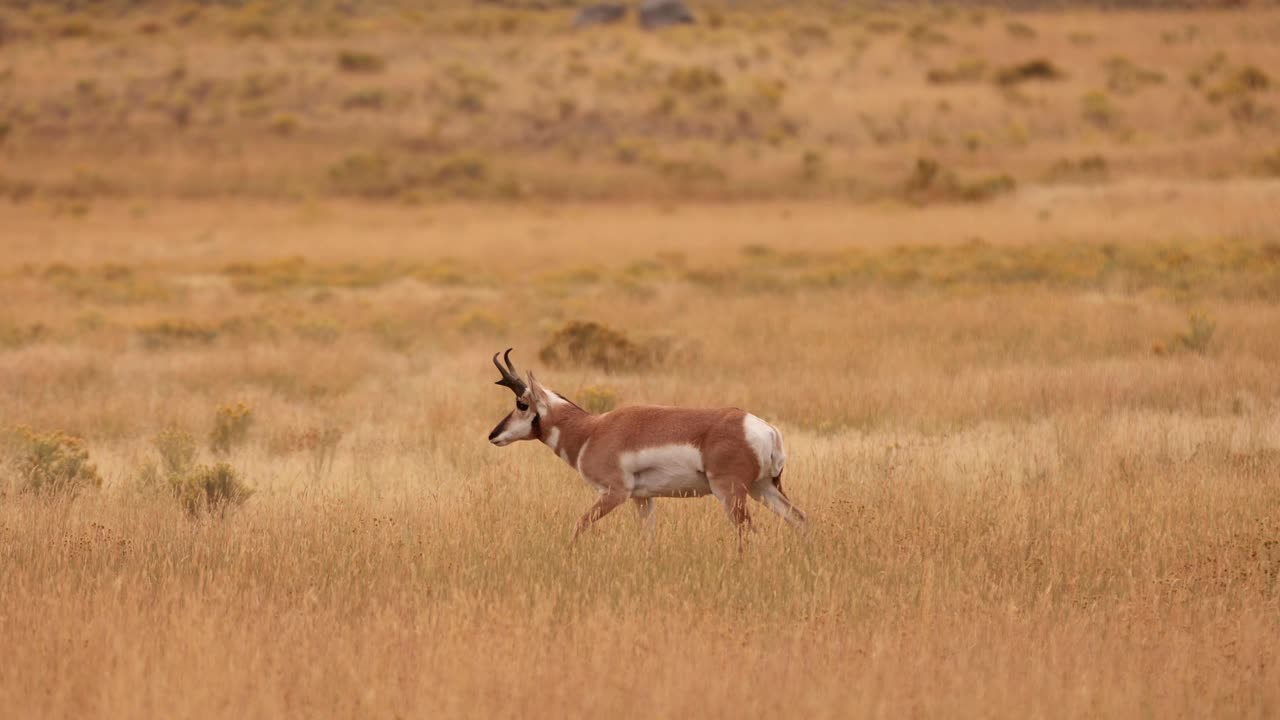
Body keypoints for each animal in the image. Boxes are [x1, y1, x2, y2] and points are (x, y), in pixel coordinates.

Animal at [483, 348, 803, 543]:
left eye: (522, 403)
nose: (493, 436)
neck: (591, 430)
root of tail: (764, 428)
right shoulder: (643, 498)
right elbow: (648, 538)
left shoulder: (615, 493)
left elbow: (580, 524)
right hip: (763, 488)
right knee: (799, 519)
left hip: (731, 493)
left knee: (748, 532)